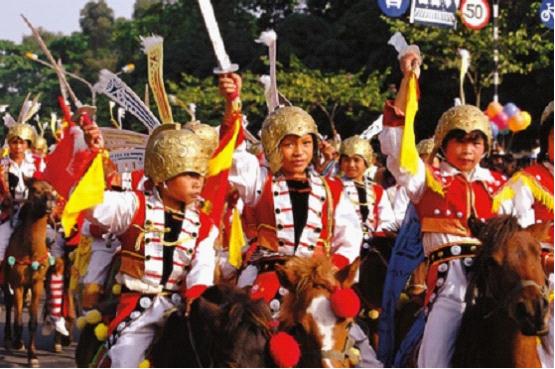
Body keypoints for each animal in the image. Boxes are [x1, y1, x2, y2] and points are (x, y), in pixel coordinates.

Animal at [2, 178, 58, 366]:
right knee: (10, 303)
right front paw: (18, 342)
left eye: (52, 190)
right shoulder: (17, 283)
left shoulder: (37, 284)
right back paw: (10, 338)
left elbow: (32, 322)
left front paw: (32, 355)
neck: (30, 250)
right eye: (33, 189)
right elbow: (19, 319)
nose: (51, 200)